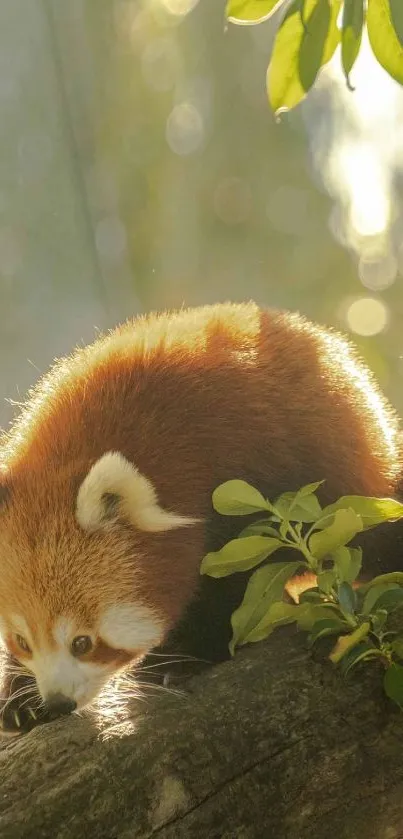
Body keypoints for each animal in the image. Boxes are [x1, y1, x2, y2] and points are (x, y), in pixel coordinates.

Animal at [0, 298, 402, 732]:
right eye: (22, 641)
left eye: (82, 643)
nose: (58, 702)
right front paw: (22, 697)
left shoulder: (249, 473)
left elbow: (234, 585)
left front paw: (182, 657)